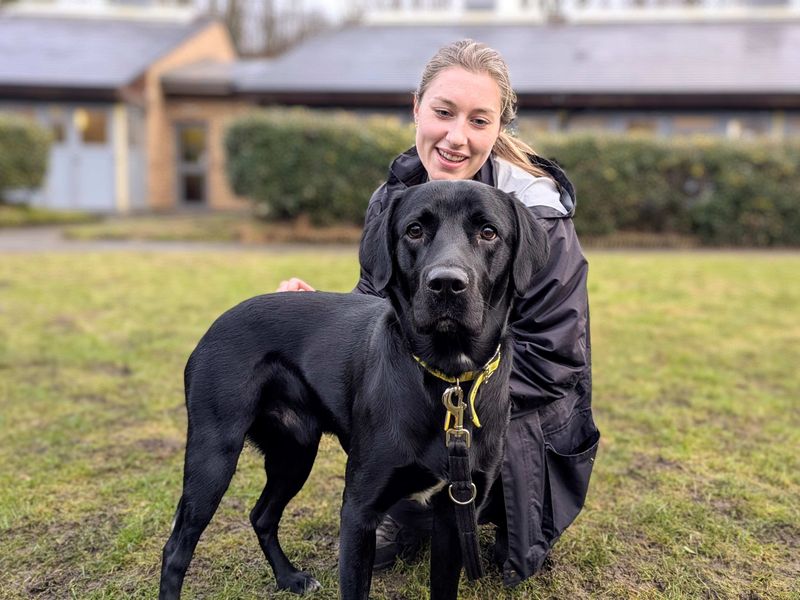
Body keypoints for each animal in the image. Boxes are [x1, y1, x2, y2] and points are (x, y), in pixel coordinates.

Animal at [161, 180, 552, 596]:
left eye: (488, 232)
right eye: (414, 230)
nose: (446, 284)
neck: (447, 380)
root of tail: (214, 326)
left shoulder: (454, 514)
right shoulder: (359, 512)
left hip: (294, 453)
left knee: (261, 515)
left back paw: (289, 577)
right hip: (214, 456)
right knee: (176, 548)